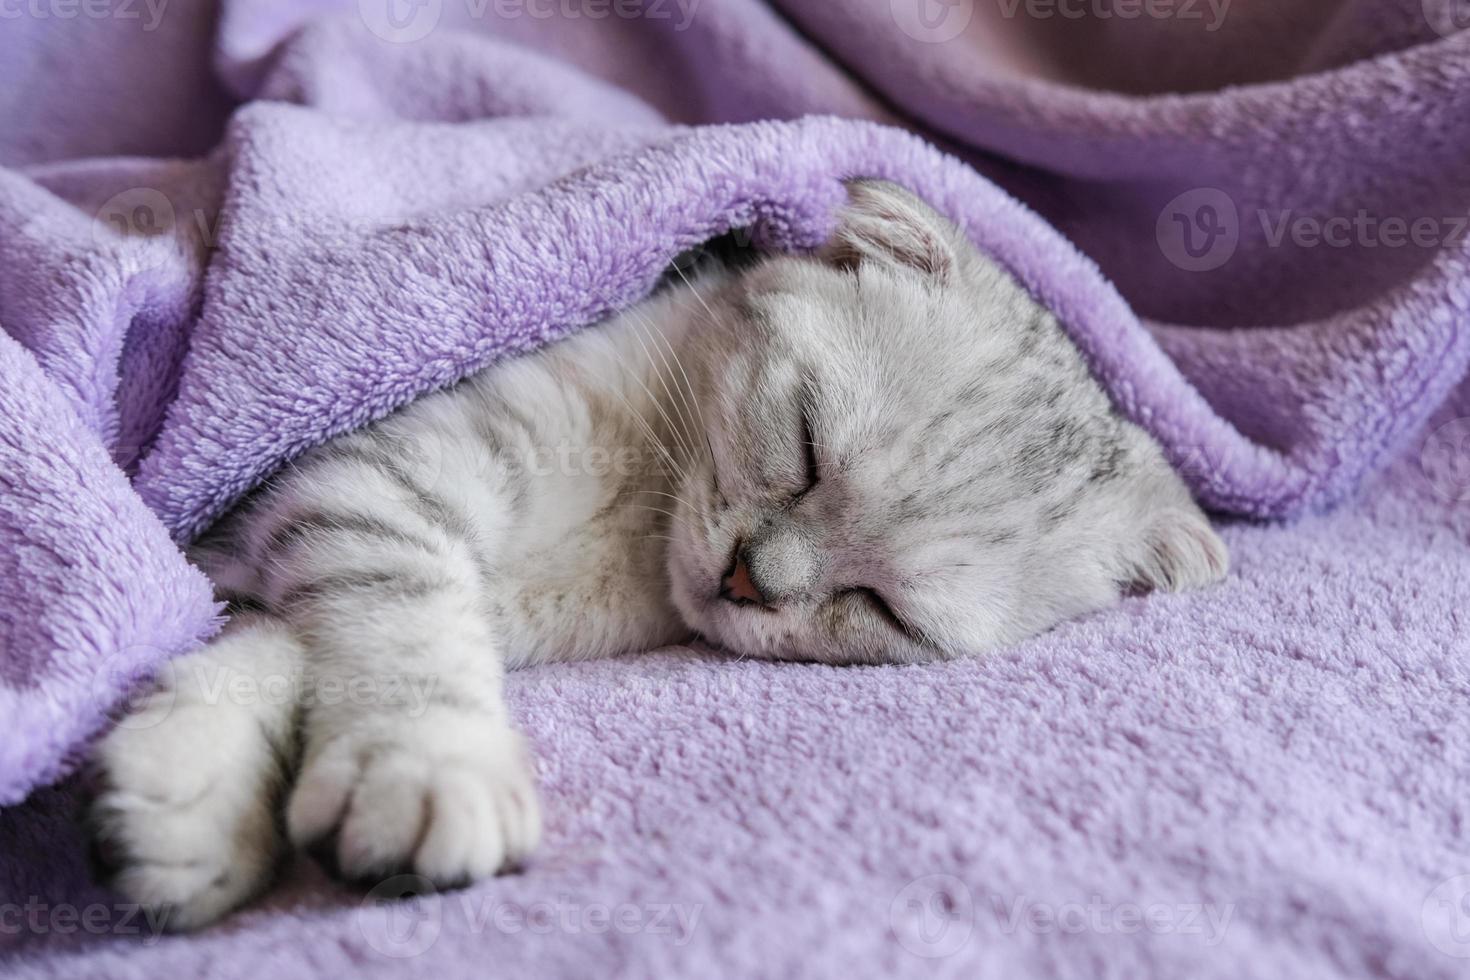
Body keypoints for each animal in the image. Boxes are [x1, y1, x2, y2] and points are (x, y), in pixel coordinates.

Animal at [83, 182, 1228, 928]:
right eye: (806, 444)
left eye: (884, 608)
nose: (748, 579)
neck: (636, 520)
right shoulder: (371, 470)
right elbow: (400, 617)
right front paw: (429, 763)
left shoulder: (352, 525)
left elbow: (286, 638)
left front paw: (185, 789)